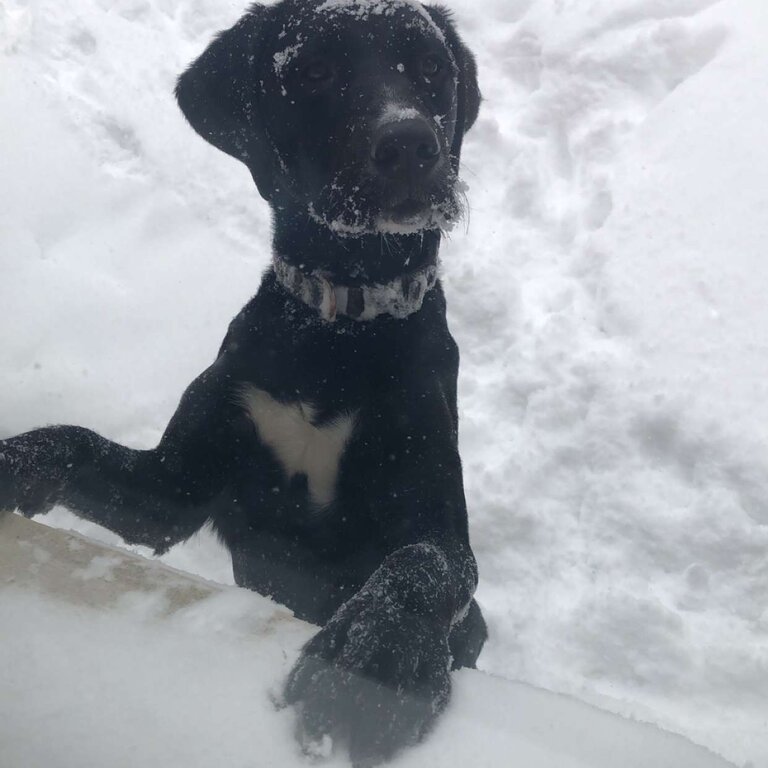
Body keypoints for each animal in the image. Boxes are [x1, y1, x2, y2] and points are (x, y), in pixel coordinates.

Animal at [3, 1, 486, 760]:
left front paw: (376, 664)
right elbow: (74, 440)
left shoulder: (436, 513)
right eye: (315, 70)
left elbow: (424, 563)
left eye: (432, 67)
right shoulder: (171, 488)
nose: (410, 143)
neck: (334, 328)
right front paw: (12, 460)